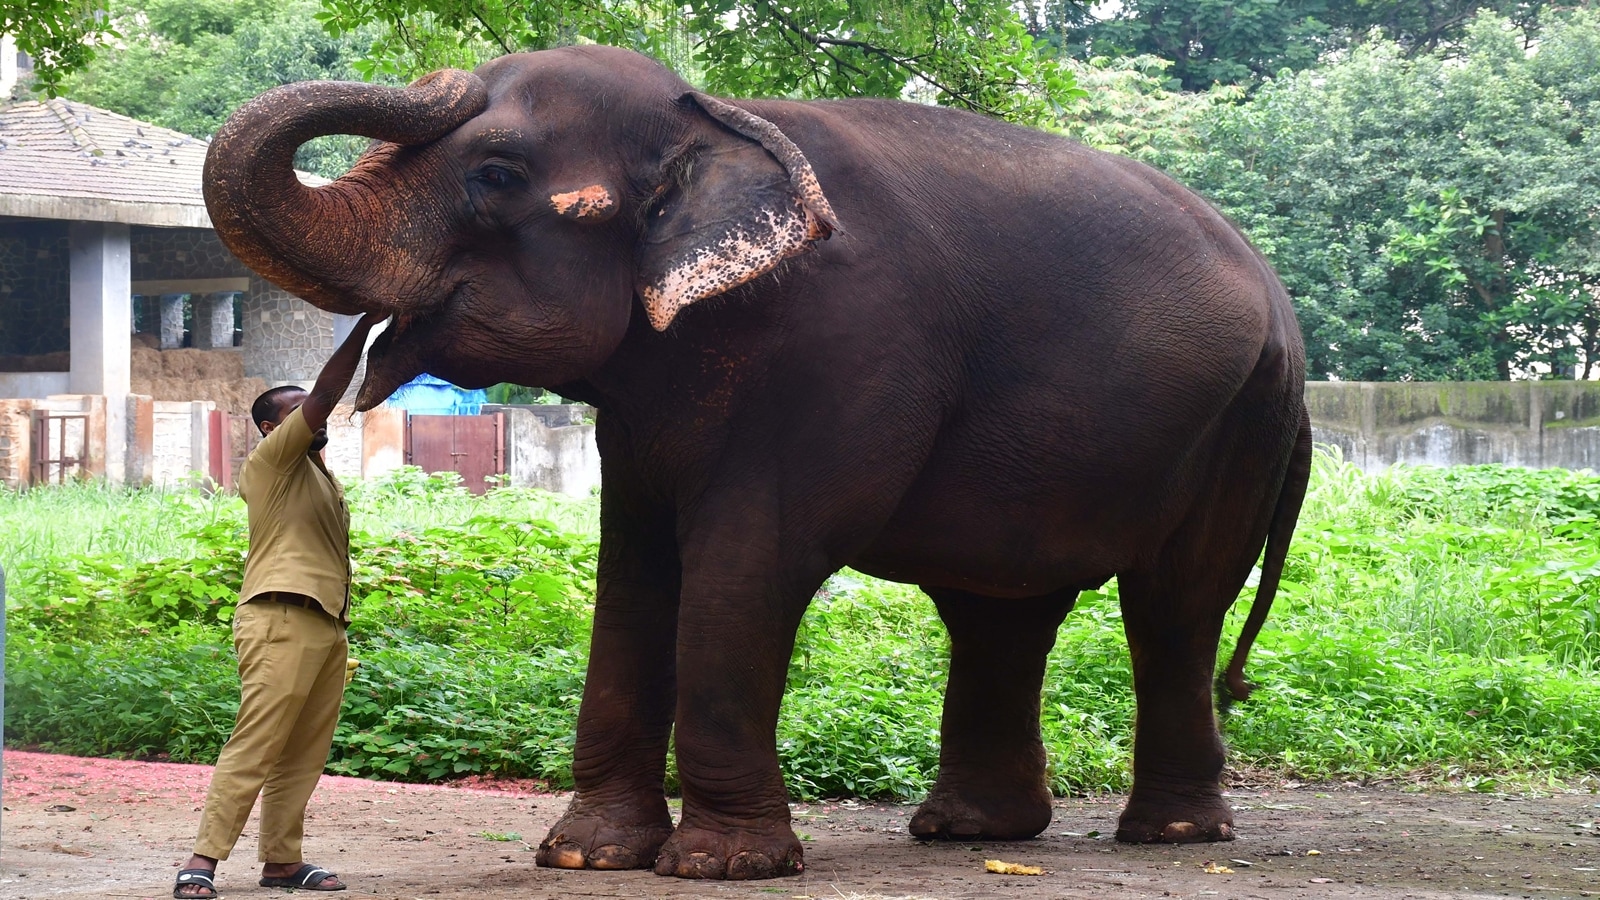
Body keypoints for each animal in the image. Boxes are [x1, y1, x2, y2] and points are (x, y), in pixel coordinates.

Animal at [203, 43, 1312, 877]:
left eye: (497, 175)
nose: (353, 349)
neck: (721, 116)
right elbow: (635, 567)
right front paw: (587, 855)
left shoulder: (848, 348)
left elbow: (751, 561)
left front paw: (722, 865)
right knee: (999, 611)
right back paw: (968, 831)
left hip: (1239, 424)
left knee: (1170, 605)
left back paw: (1168, 834)